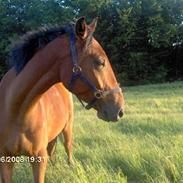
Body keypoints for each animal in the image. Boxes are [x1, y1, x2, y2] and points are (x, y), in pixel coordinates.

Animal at [0, 17, 124, 183]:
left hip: (67, 130)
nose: (119, 109)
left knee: (68, 150)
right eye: (100, 62)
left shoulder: (38, 158)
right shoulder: (5, 160)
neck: (16, 110)